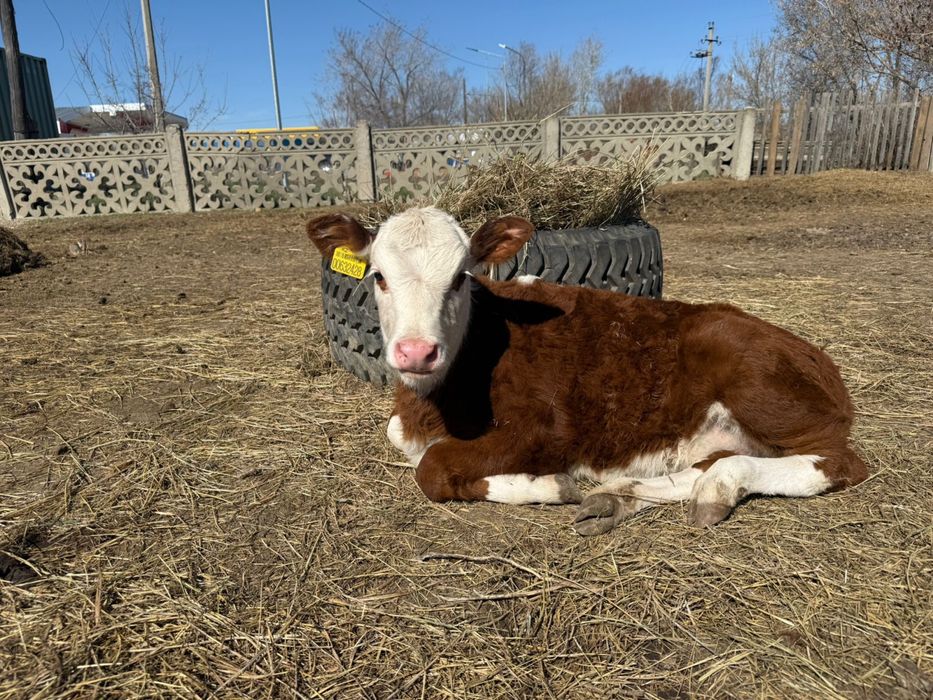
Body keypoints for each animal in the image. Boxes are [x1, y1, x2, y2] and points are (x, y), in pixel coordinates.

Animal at [307, 207, 867, 535]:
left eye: (462, 277)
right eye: (378, 276)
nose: (416, 353)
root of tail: (817, 355)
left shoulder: (546, 427)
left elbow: (433, 467)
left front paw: (547, 485)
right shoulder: (405, 423)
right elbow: (405, 441)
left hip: (758, 382)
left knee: (837, 462)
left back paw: (717, 488)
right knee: (706, 463)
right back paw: (619, 498)